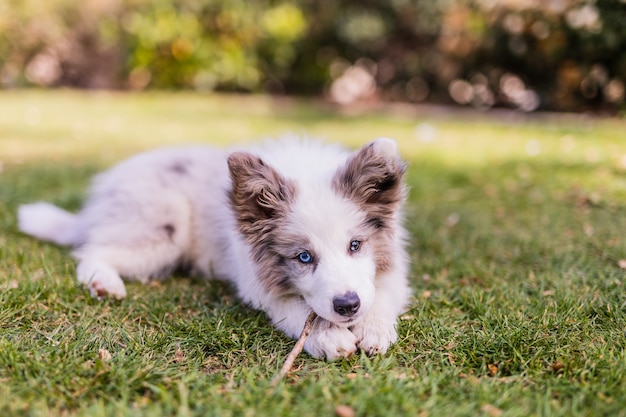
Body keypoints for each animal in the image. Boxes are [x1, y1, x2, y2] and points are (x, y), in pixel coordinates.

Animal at [18, 138, 410, 360]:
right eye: (303, 257)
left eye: (355, 245)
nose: (347, 306)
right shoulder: (256, 282)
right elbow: (296, 310)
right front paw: (328, 337)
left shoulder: (390, 268)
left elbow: (381, 294)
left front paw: (374, 330)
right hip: (164, 225)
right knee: (91, 250)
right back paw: (105, 283)